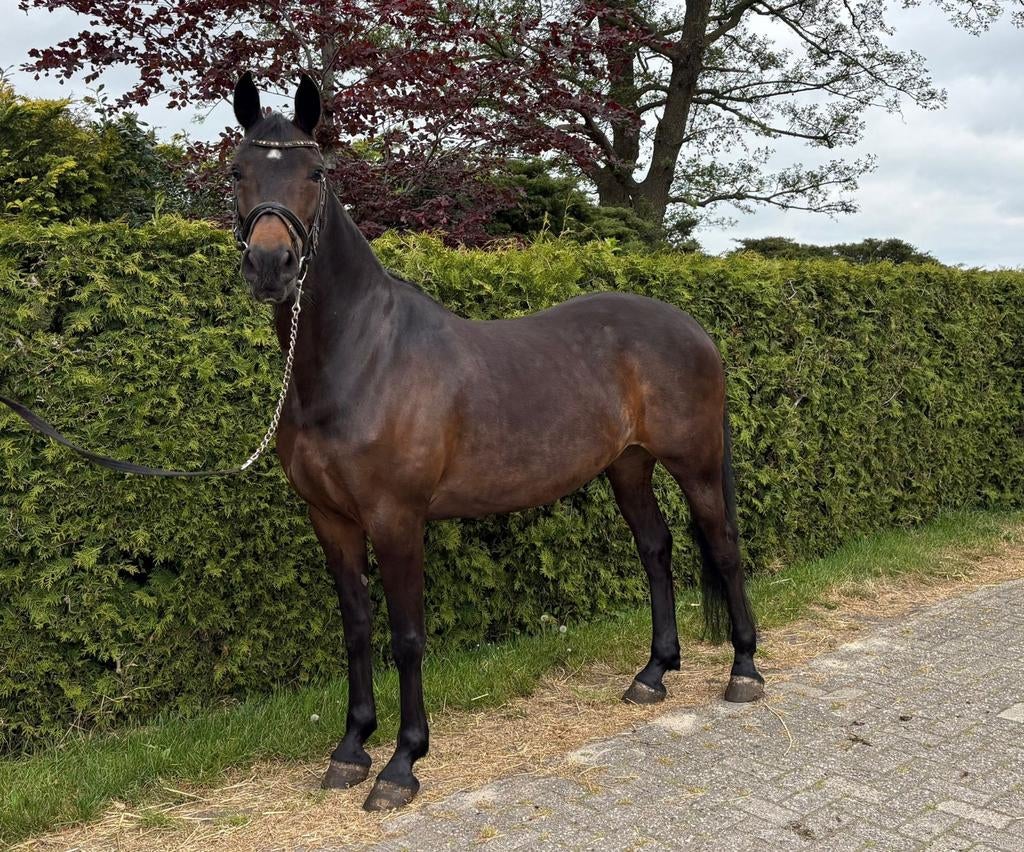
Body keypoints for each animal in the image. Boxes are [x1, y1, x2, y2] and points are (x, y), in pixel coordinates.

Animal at [230, 72, 763, 812]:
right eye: (237, 171)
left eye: (317, 173)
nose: (271, 265)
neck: (362, 356)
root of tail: (693, 328)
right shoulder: (331, 518)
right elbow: (357, 628)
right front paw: (350, 749)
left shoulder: (397, 519)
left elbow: (406, 636)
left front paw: (402, 763)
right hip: (628, 467)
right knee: (655, 551)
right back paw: (653, 674)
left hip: (697, 465)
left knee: (725, 548)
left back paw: (743, 670)